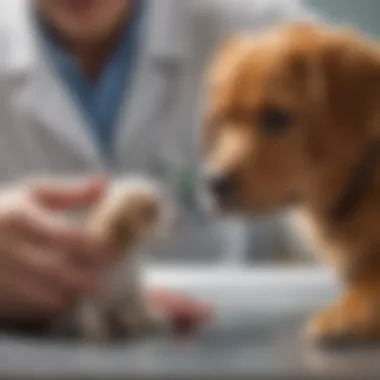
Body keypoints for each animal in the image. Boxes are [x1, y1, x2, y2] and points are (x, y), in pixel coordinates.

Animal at [53, 177, 175, 342]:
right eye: (153, 209)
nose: (176, 221)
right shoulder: (91, 298)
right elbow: (92, 320)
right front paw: (98, 334)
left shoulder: (131, 293)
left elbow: (138, 309)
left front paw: (152, 321)